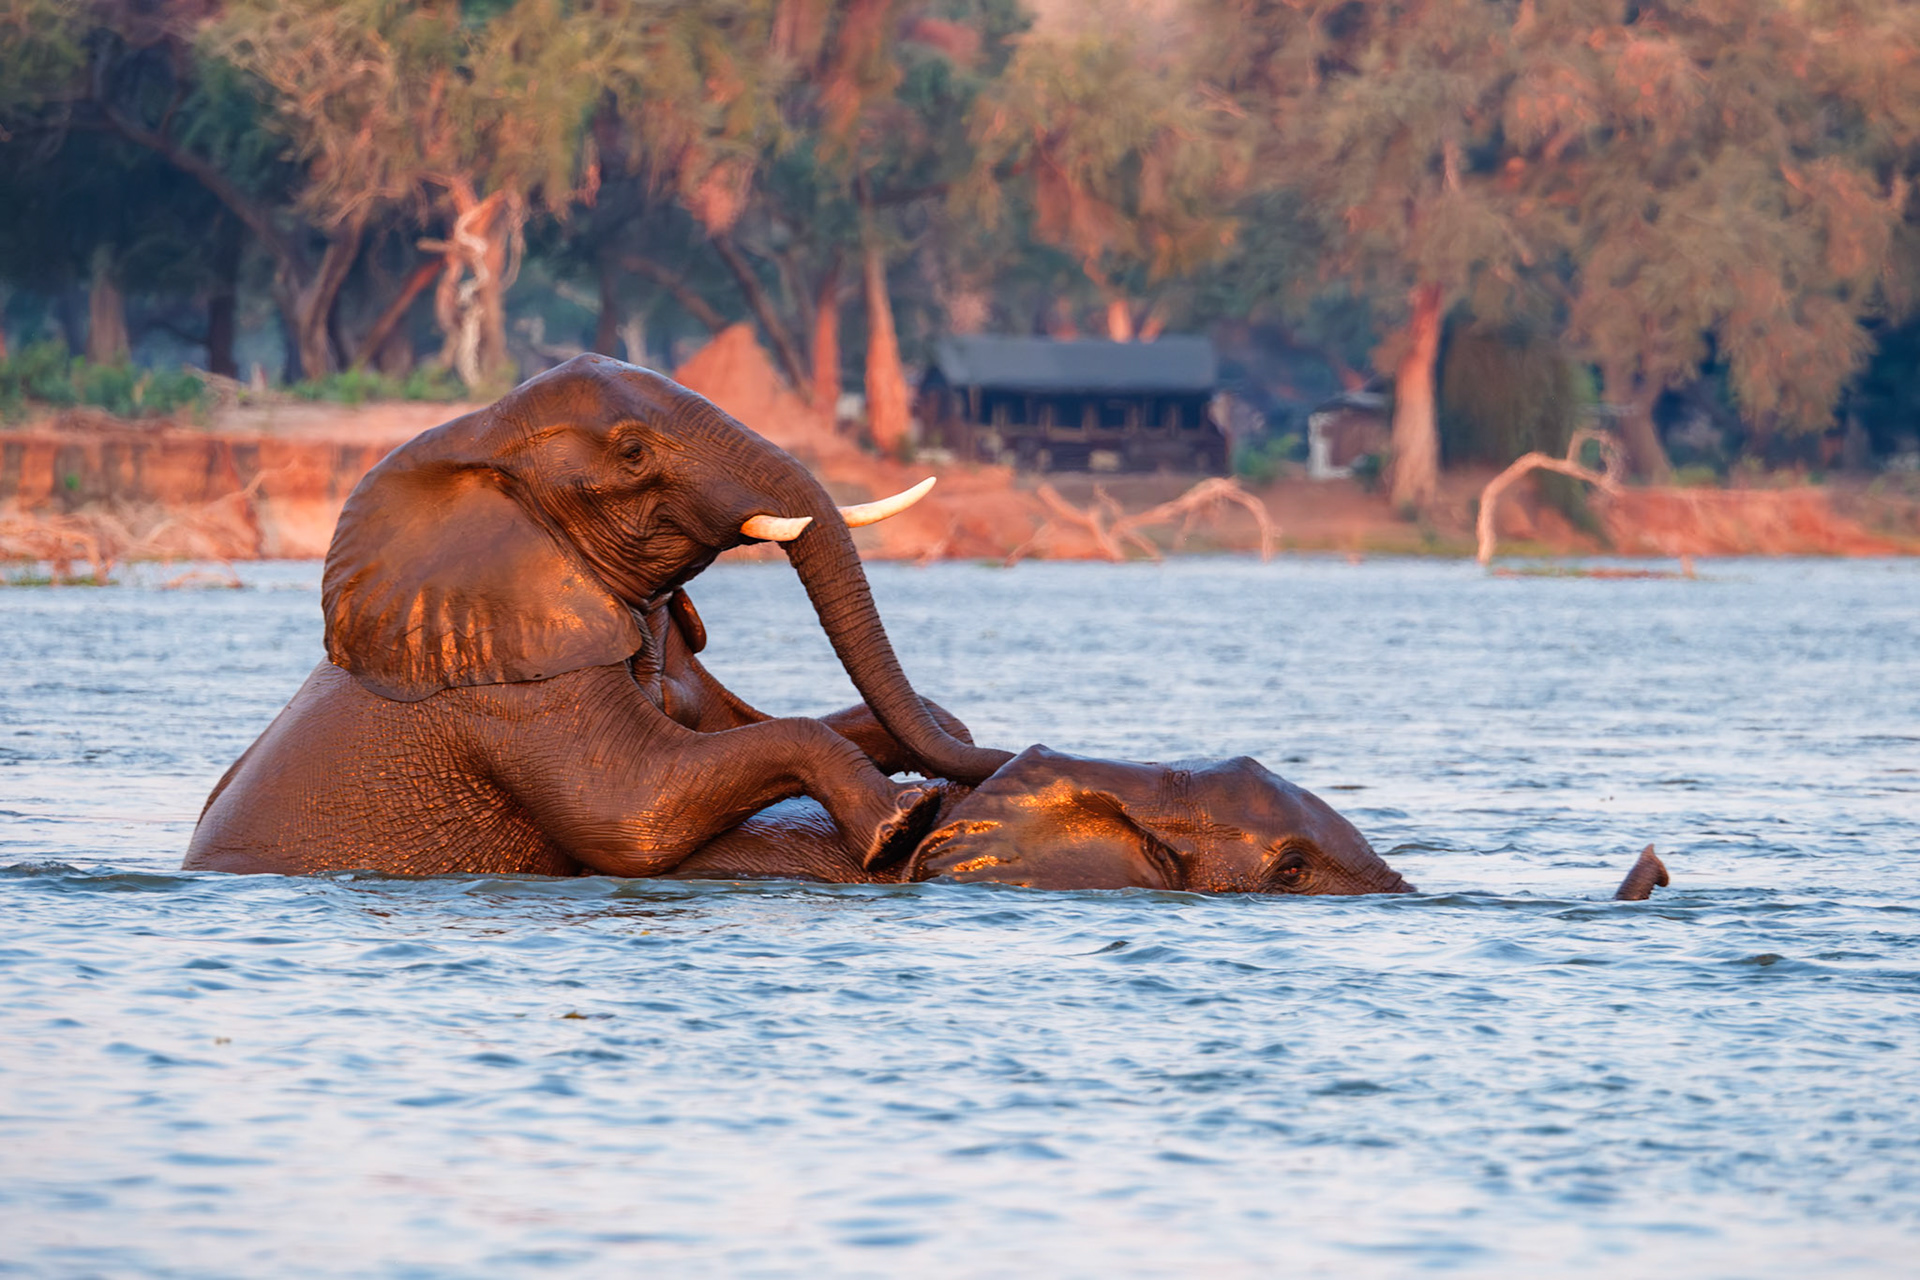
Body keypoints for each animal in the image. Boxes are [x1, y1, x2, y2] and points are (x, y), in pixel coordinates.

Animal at [185, 354, 1011, 877]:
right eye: (634, 452)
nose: (1016, 752)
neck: (478, 435)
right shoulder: (518, 694)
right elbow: (630, 812)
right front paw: (903, 820)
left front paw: (958, 754)